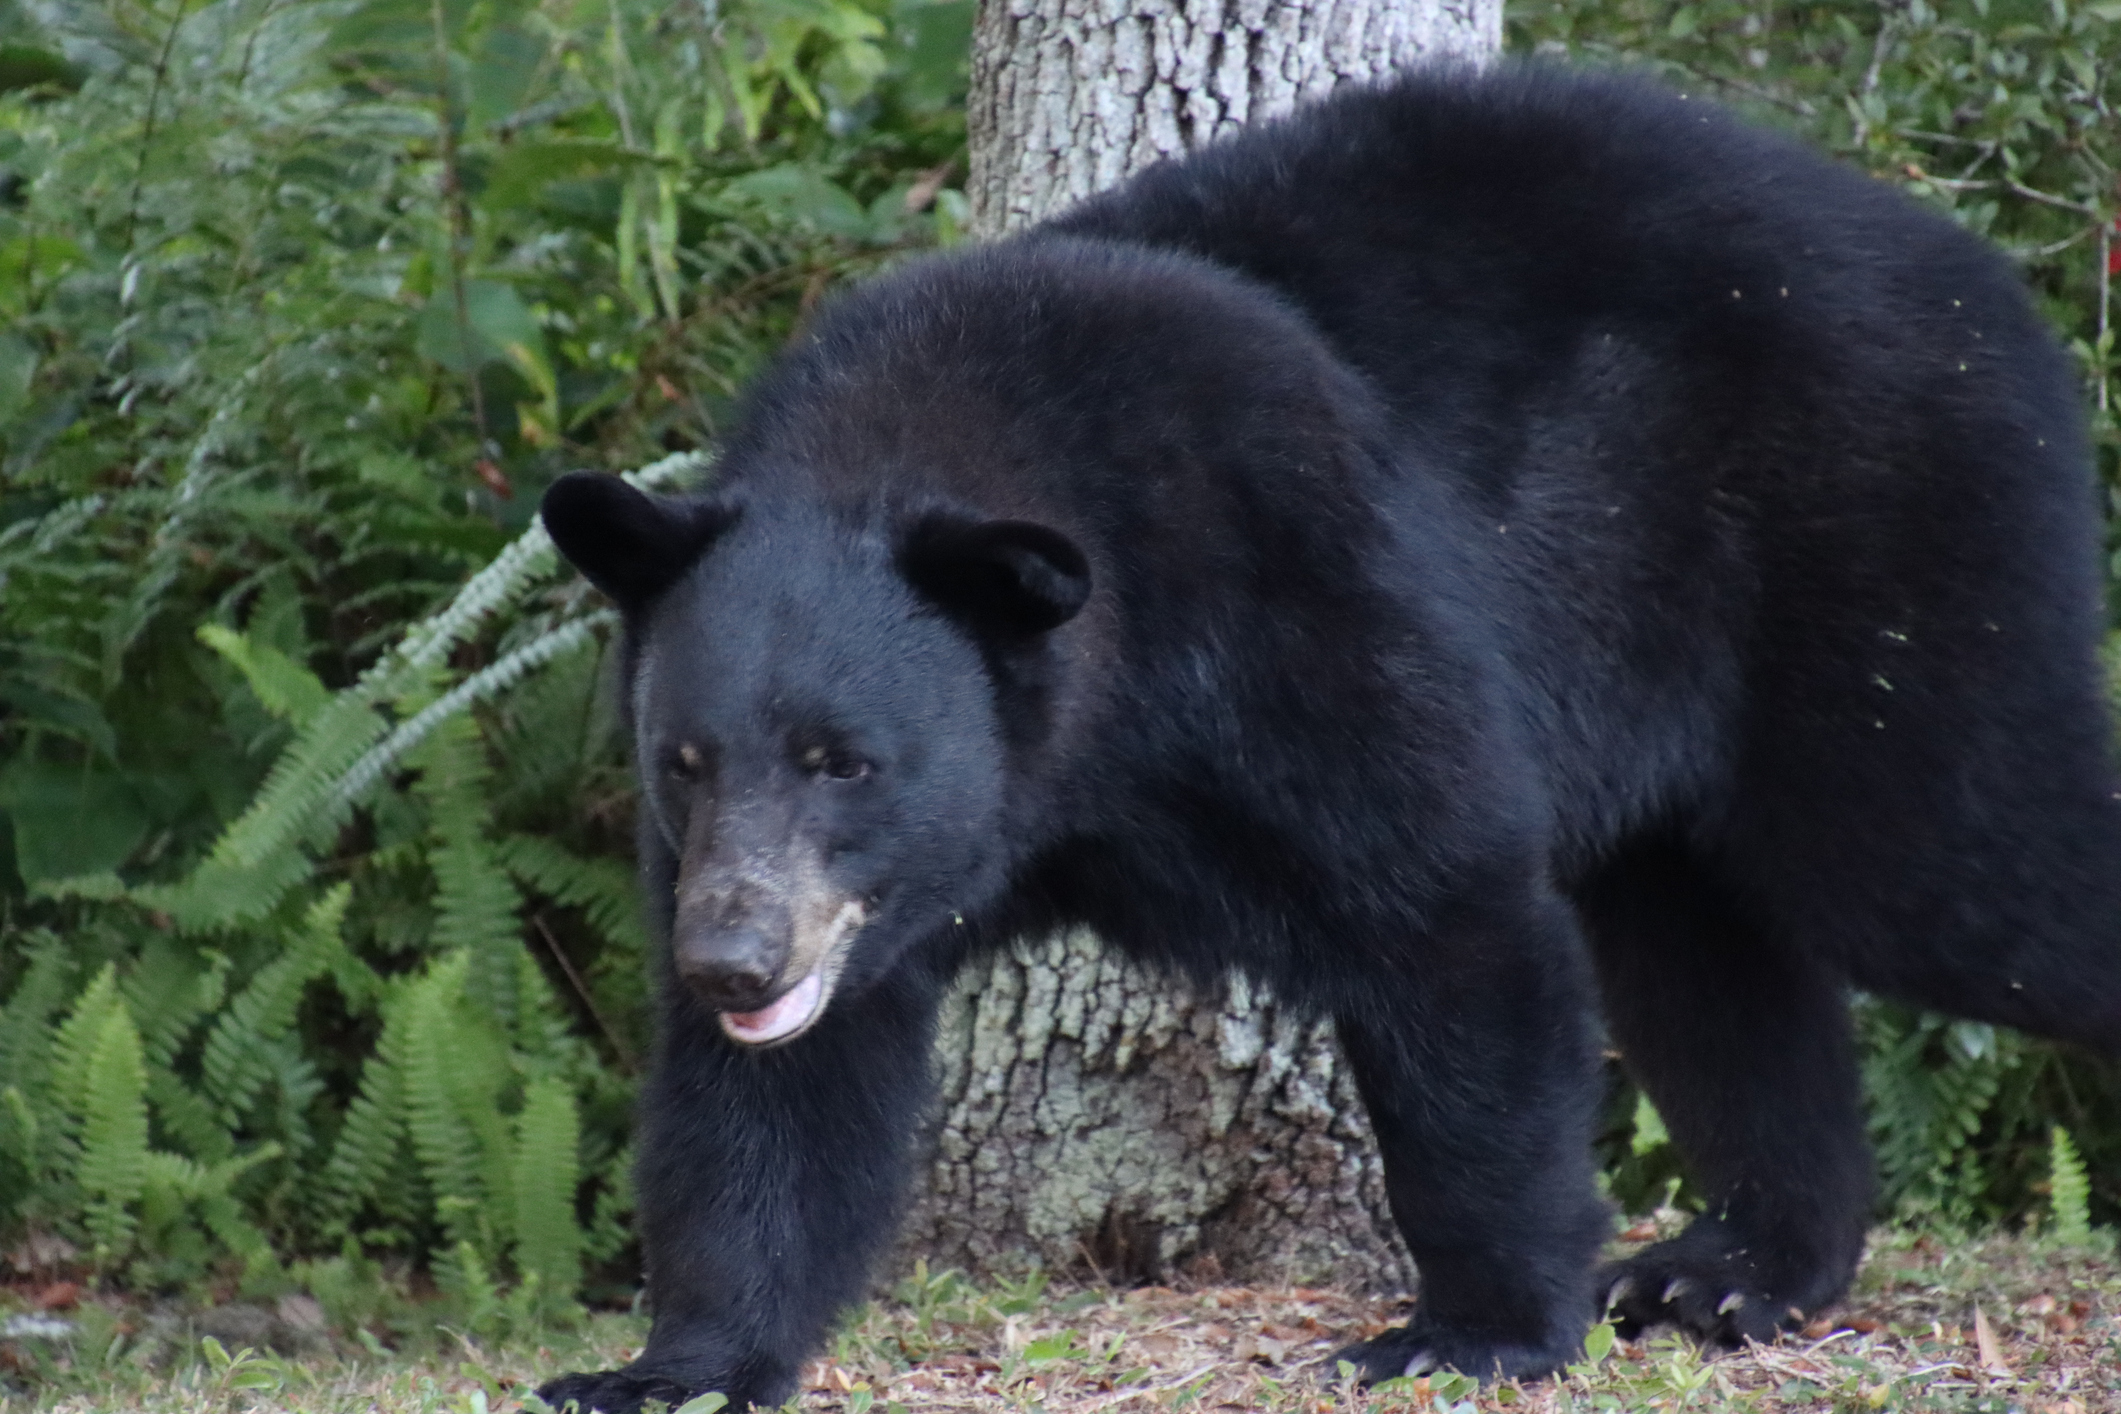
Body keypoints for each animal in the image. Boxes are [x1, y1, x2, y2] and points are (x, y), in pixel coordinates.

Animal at [533, 63, 2121, 1413]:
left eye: (844, 758)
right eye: (684, 759)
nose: (731, 959)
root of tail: (1976, 270)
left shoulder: (1298, 579)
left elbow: (1444, 905)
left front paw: (1468, 1327)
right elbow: (778, 1100)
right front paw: (666, 1366)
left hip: (1871, 542)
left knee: (1958, 859)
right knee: (1704, 957)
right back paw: (1727, 1270)